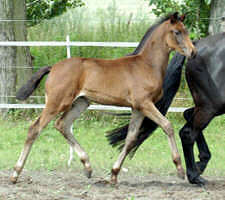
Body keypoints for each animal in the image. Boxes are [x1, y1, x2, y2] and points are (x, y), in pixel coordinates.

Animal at [11, 12, 196, 184]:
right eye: (177, 32)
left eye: (186, 31)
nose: (193, 52)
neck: (147, 65)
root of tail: (54, 67)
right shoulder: (145, 104)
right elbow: (167, 126)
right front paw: (180, 169)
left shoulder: (137, 108)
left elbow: (130, 139)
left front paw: (114, 174)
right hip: (57, 103)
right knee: (35, 128)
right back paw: (15, 173)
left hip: (80, 103)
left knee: (62, 125)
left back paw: (87, 167)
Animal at [107, 32, 225, 185]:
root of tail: (197, 45)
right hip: (211, 106)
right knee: (188, 133)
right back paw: (195, 175)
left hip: (208, 106)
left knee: (187, 117)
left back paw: (200, 164)